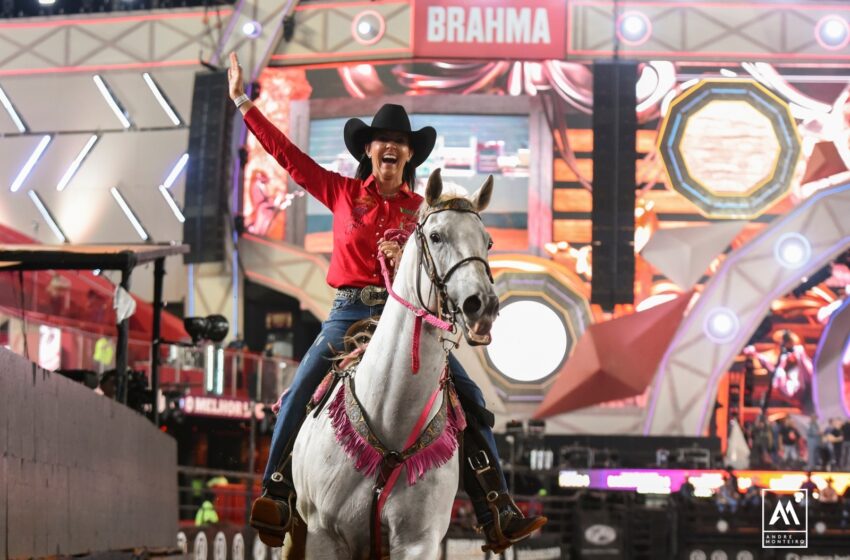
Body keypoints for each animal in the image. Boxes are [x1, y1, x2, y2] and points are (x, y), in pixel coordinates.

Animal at [292, 168, 496, 556]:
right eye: (436, 236)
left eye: (488, 242)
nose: (483, 304)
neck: (391, 420)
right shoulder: (323, 533)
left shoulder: (419, 539)